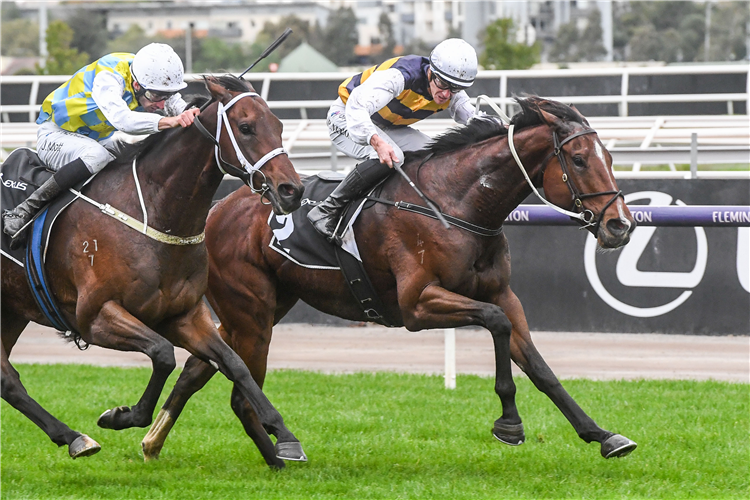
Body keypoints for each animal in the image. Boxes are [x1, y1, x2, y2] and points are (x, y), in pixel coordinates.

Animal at [0, 75, 308, 468]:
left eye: (280, 125)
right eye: (246, 127)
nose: (291, 190)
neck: (154, 213)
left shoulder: (184, 316)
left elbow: (234, 363)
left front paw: (284, 435)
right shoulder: (95, 317)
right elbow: (163, 354)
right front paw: (121, 416)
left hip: (12, 308)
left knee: (7, 379)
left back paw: (73, 438)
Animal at [142, 95, 640, 462]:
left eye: (611, 156)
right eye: (579, 159)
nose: (620, 225)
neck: (455, 203)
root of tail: (216, 210)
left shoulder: (503, 293)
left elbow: (539, 366)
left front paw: (602, 434)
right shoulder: (418, 304)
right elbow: (495, 324)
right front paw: (510, 424)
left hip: (264, 307)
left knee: (201, 367)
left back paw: (153, 441)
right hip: (252, 311)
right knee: (238, 388)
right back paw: (279, 452)